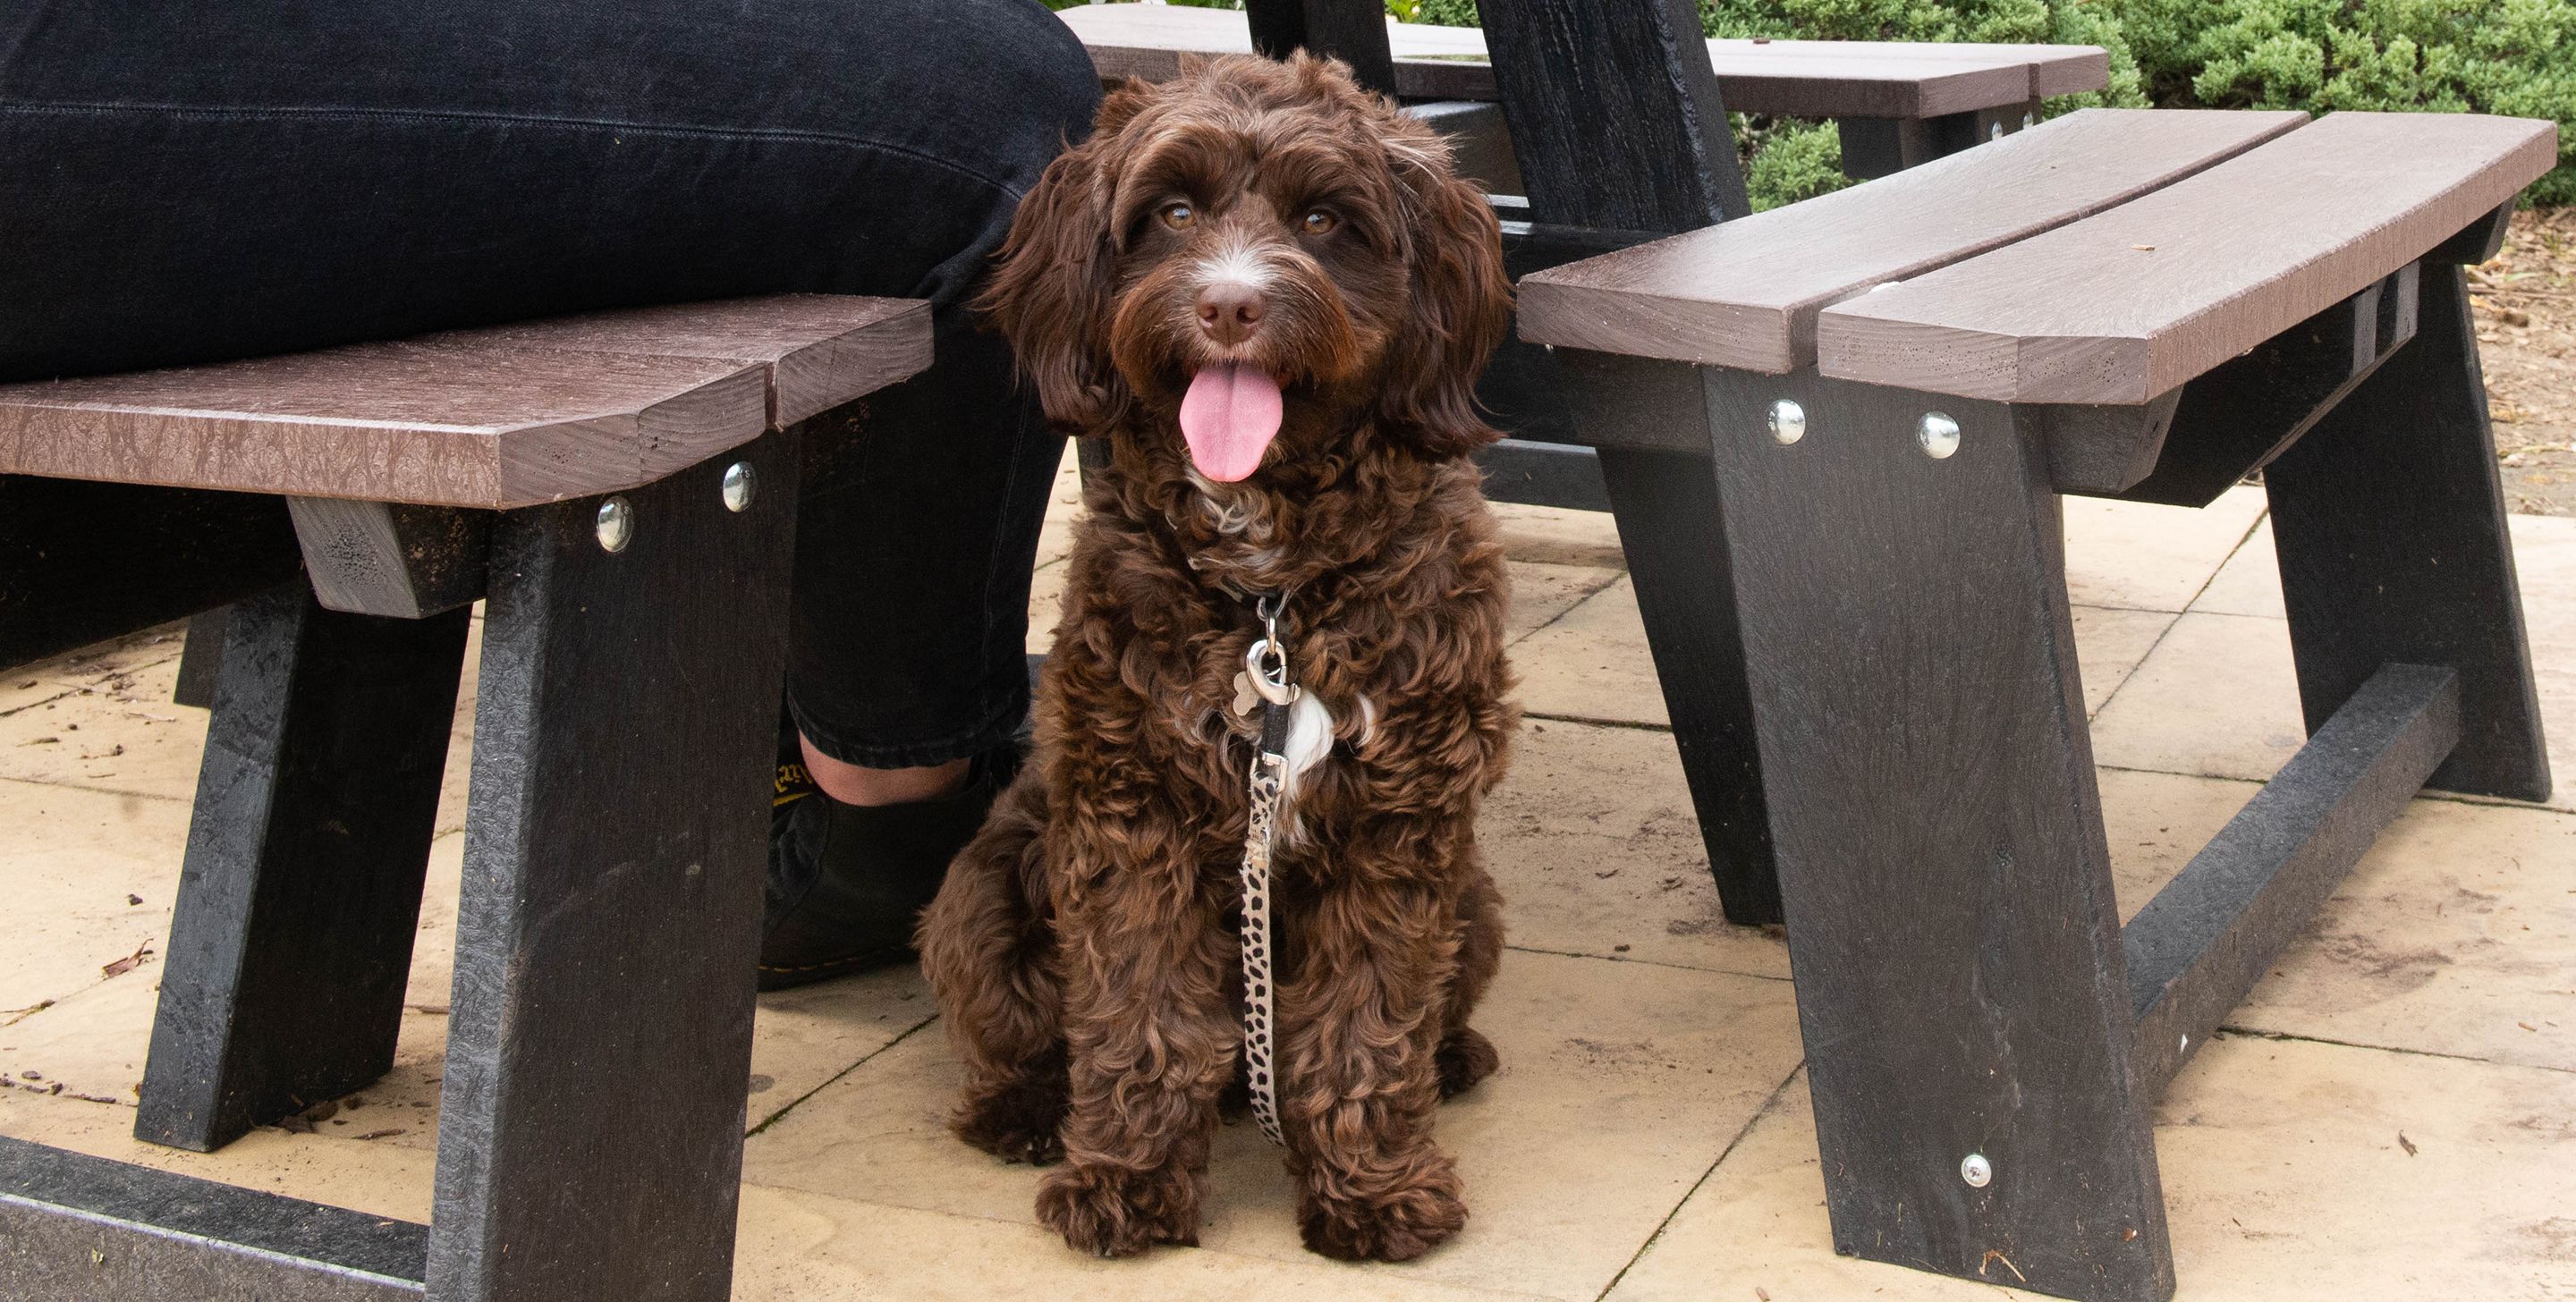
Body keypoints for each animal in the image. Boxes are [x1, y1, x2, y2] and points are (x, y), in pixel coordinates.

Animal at [917, 53, 1514, 1260]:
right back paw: (1022, 1111)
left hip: (1473, 904)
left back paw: (1449, 1058)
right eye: (1173, 214)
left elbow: (1364, 1025)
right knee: (1015, 1033)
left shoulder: (1402, 828)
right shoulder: (1129, 814)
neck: (1272, 590)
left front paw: (1374, 1192)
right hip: (983, 892)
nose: (1230, 304)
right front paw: (1127, 1182)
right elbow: (1141, 1012)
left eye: (1325, 219)